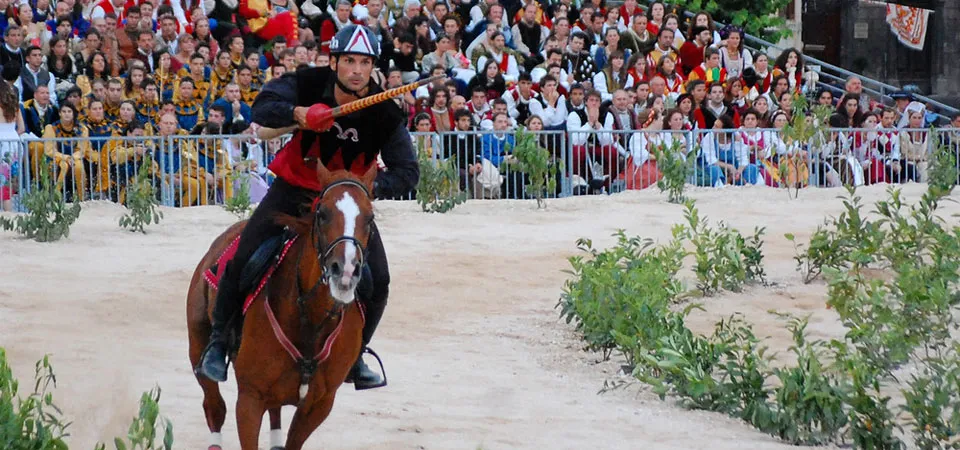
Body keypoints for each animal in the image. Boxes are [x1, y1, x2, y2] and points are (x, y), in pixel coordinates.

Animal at [188, 163, 378, 448]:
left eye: (370, 219)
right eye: (322, 214)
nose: (345, 272)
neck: (309, 320)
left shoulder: (319, 405)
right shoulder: (250, 399)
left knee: (274, 411)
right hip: (198, 345)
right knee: (214, 407)